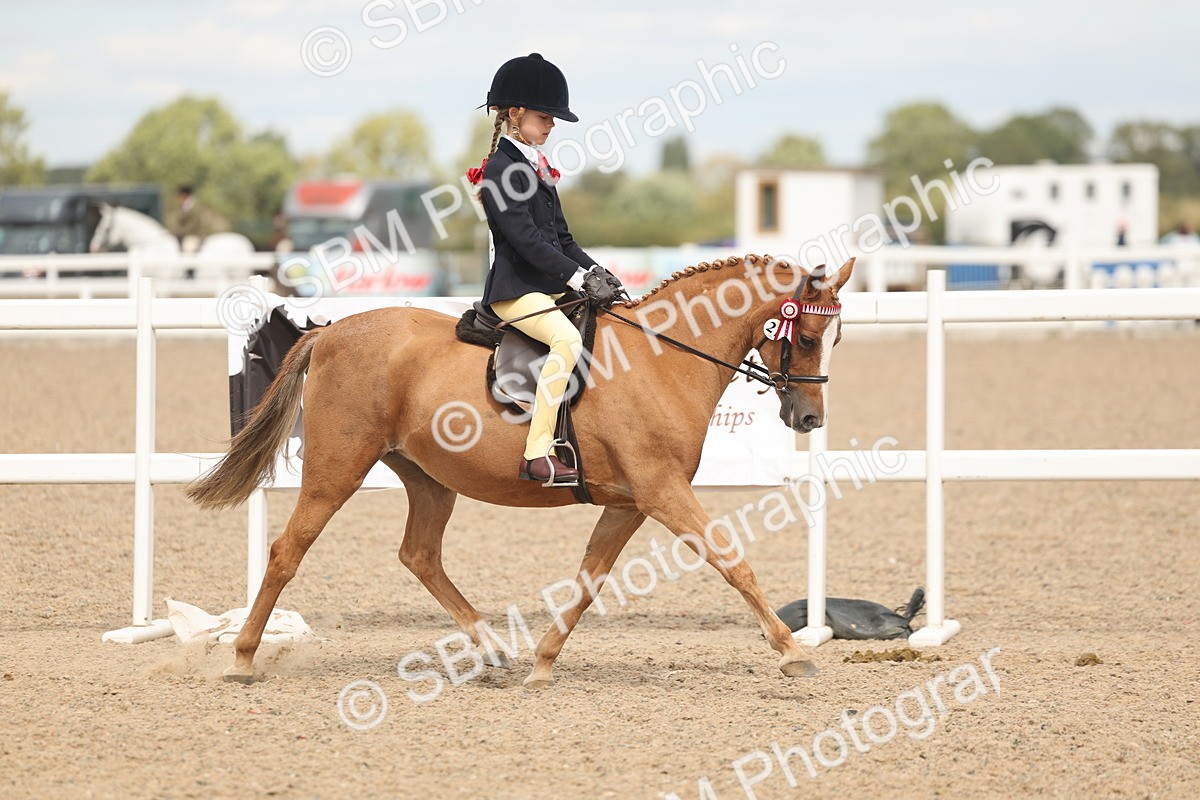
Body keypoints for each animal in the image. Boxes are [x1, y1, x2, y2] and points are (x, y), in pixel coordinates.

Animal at [187, 254, 856, 687]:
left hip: (429, 478)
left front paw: (543, 662)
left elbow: (588, 582)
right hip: (337, 469)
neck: (662, 359)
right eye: (805, 336)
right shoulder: (662, 491)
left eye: (836, 338)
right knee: (287, 551)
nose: (808, 417)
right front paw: (792, 651)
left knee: (419, 555)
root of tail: (328, 333)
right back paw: (243, 658)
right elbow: (732, 561)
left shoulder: (629, 502)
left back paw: (492, 651)